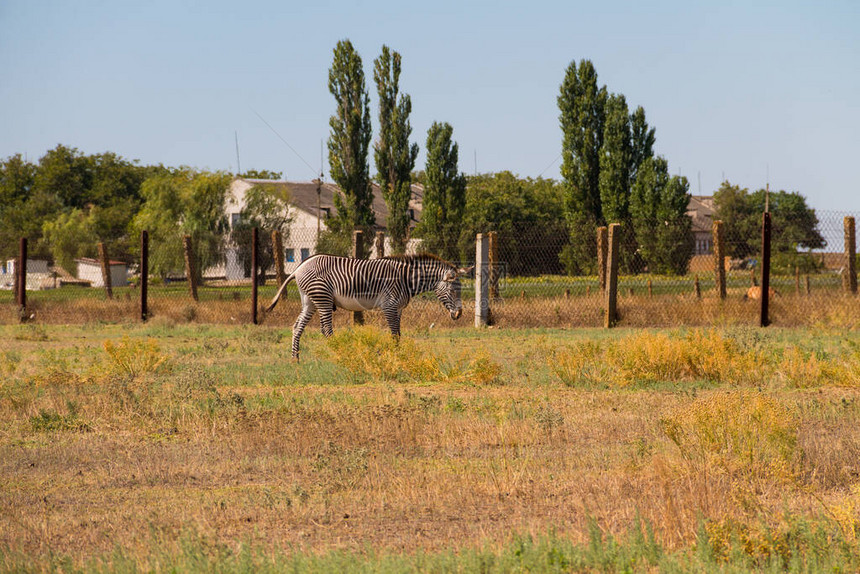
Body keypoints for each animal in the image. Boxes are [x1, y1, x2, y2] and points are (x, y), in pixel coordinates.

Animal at [266, 255, 474, 360]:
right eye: (453, 291)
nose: (459, 313)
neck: (406, 279)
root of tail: (298, 268)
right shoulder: (389, 306)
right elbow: (394, 334)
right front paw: (396, 358)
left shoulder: (399, 308)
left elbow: (398, 333)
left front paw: (399, 356)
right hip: (323, 298)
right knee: (326, 330)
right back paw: (340, 354)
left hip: (310, 300)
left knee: (297, 327)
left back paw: (295, 359)